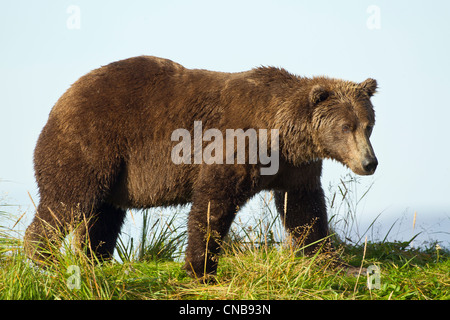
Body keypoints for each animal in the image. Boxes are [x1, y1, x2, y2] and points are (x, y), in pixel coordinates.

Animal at [23, 56, 376, 278]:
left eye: (368, 125)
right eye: (345, 126)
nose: (369, 162)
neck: (281, 134)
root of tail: (61, 101)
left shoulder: (295, 167)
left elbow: (305, 209)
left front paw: (334, 261)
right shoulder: (238, 142)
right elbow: (212, 201)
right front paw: (200, 268)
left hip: (115, 173)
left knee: (103, 217)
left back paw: (95, 261)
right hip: (92, 143)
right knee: (69, 200)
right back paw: (44, 257)